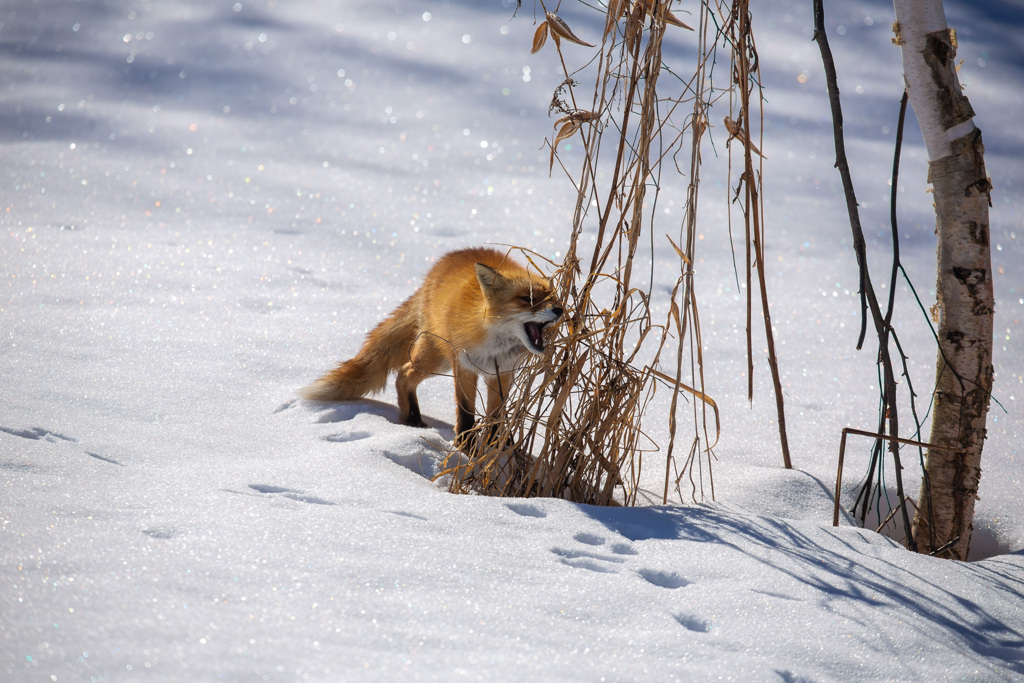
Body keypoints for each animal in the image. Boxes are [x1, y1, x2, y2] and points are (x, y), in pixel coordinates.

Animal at [299, 248, 565, 436]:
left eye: (553, 298)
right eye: (528, 299)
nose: (560, 310)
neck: (493, 345)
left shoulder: (502, 373)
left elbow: (496, 419)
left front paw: (494, 451)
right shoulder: (464, 366)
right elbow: (466, 414)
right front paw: (466, 448)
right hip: (434, 359)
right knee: (403, 374)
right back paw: (411, 420)